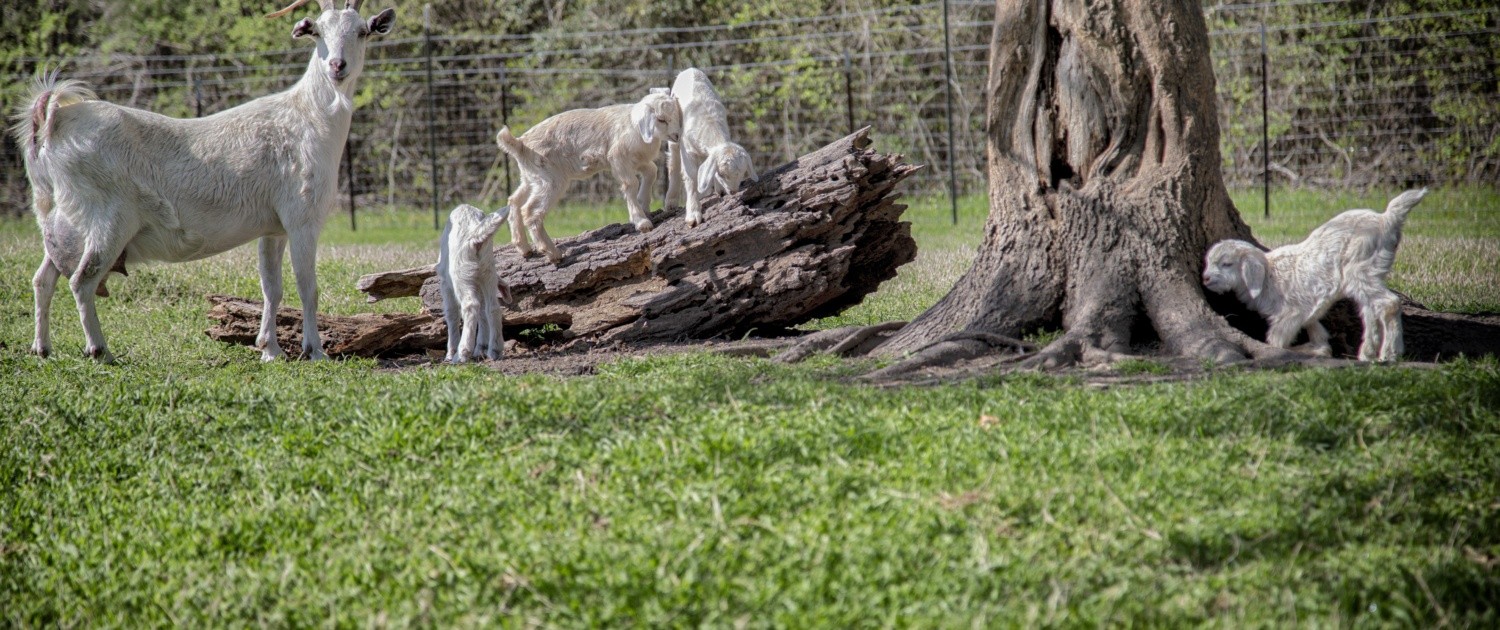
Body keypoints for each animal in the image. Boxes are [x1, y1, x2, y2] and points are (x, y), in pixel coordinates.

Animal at [438, 205, 516, 364]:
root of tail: (475, 237)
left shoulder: (446, 284)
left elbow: (451, 313)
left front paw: (450, 353)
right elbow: (483, 313)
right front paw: (481, 348)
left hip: (461, 274)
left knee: (470, 305)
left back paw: (462, 353)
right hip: (488, 270)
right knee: (493, 308)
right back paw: (495, 350)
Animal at [495, 90, 684, 264]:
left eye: (677, 114)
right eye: (661, 119)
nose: (677, 136)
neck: (634, 126)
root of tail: (520, 144)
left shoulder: (637, 160)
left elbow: (652, 171)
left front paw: (644, 205)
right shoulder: (618, 158)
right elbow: (630, 184)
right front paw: (641, 222)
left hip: (531, 177)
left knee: (514, 201)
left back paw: (524, 248)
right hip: (550, 179)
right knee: (530, 211)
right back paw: (552, 253)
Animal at [666, 68, 756, 229]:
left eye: (742, 173)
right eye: (722, 174)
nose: (733, 191)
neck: (709, 121)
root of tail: (689, 69)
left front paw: (718, 190)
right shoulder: (687, 149)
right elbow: (691, 177)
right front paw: (693, 216)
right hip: (674, 133)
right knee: (673, 163)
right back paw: (671, 201)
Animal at [1194, 186, 1428, 361]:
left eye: (1227, 264)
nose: (1205, 278)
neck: (1269, 275)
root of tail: (1386, 219)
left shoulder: (1290, 313)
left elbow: (1276, 341)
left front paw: (1308, 351)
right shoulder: (1307, 310)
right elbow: (1317, 329)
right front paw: (1320, 347)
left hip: (1360, 268)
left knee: (1389, 303)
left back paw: (1390, 353)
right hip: (1369, 272)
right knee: (1370, 309)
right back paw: (1368, 352)